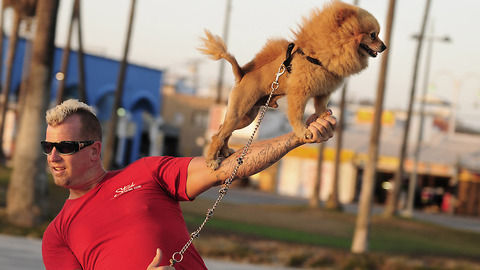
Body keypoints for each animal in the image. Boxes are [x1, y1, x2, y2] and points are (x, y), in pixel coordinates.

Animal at [199, 0, 386, 169]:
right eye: (373, 35)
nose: (384, 46)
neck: (321, 52)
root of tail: (241, 74)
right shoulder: (299, 92)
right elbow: (296, 115)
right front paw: (303, 131)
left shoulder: (323, 91)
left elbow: (320, 106)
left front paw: (325, 116)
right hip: (239, 112)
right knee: (219, 134)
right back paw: (211, 161)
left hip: (246, 116)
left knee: (222, 130)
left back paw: (224, 151)